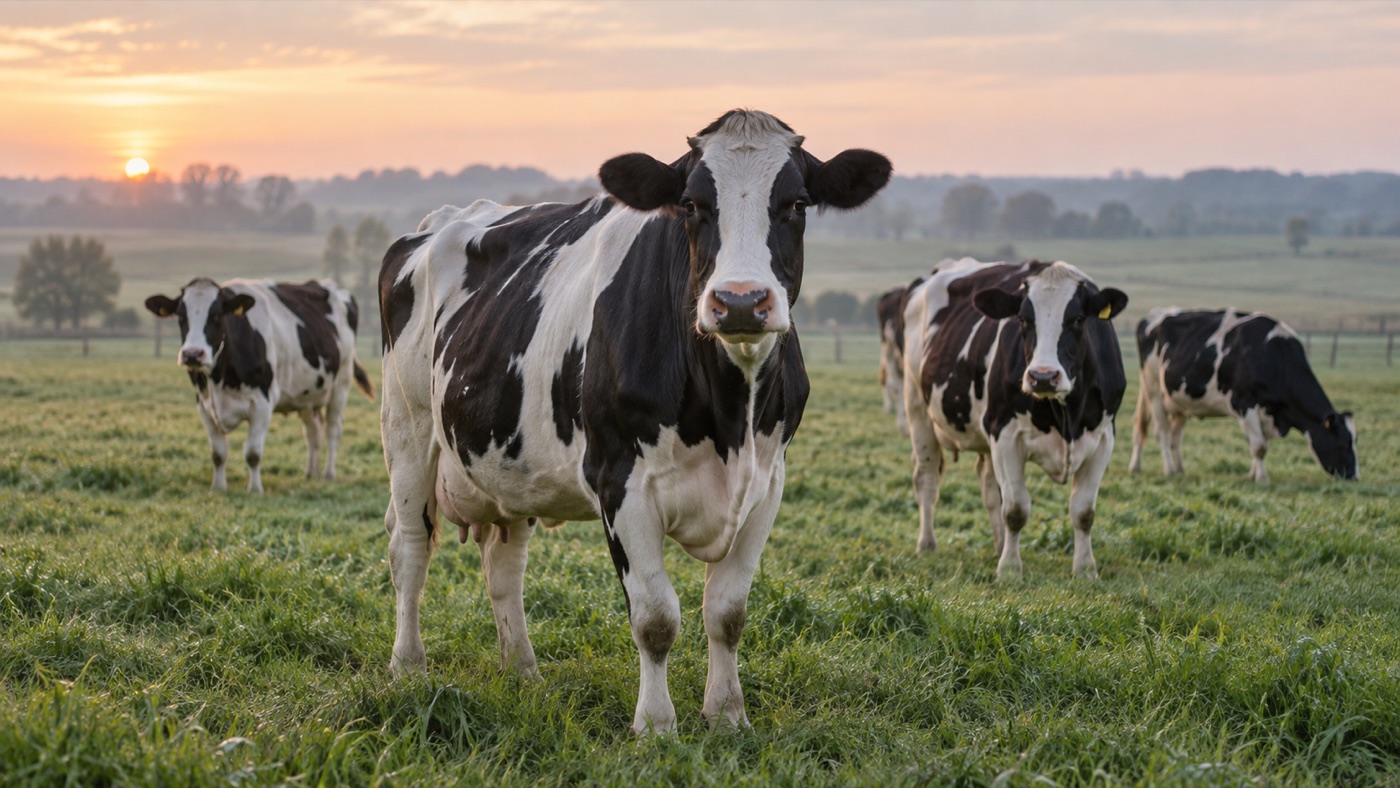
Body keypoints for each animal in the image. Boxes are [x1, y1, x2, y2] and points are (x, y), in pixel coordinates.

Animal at [145, 278, 373, 493]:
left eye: (216, 315)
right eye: (181, 316)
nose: (193, 354)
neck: (220, 379)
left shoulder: (262, 403)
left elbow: (253, 452)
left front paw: (254, 489)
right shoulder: (203, 404)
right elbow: (218, 453)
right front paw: (218, 487)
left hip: (341, 384)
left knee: (333, 430)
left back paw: (328, 474)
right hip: (307, 394)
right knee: (313, 431)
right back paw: (311, 473)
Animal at [377, 109, 890, 734]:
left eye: (797, 203)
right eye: (692, 204)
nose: (741, 302)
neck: (730, 415)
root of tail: (440, 221)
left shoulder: (768, 484)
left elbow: (728, 611)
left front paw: (727, 715)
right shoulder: (621, 482)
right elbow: (655, 617)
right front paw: (656, 725)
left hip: (509, 462)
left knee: (505, 564)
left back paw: (522, 670)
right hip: (407, 430)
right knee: (410, 548)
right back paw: (409, 667)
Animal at [902, 259, 1128, 580]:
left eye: (1078, 319)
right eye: (1023, 320)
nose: (1043, 376)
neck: (1065, 415)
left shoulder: (1103, 438)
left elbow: (1083, 511)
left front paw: (1085, 569)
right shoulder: (1005, 434)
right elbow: (1015, 509)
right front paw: (1009, 569)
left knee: (987, 485)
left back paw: (998, 544)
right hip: (917, 407)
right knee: (927, 479)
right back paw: (927, 544)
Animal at [1129, 307, 1358, 483]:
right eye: (1345, 443)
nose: (1355, 477)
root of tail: (1154, 314)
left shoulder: (1266, 412)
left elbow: (1258, 444)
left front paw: (1251, 474)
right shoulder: (1244, 403)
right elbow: (1259, 446)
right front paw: (1262, 479)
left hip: (1180, 400)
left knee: (1173, 435)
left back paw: (1178, 468)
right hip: (1153, 389)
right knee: (1161, 431)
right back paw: (1164, 469)